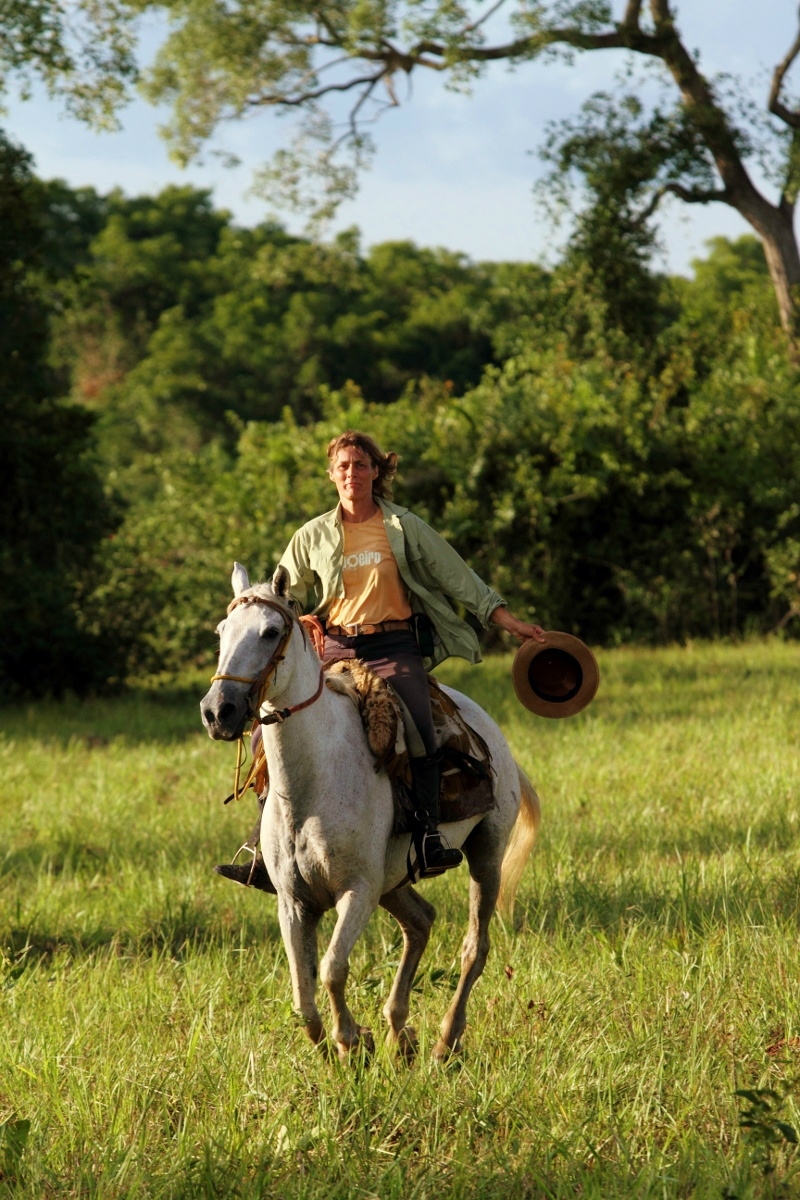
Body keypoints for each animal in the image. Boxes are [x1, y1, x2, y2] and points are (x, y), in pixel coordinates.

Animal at [199, 564, 544, 1060]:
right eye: (222, 632)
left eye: (269, 632)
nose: (217, 712)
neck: (313, 784)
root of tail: (491, 733)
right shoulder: (293, 902)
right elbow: (302, 992)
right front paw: (342, 1046)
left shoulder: (357, 891)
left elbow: (331, 968)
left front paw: (349, 1039)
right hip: (393, 880)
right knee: (420, 922)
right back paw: (399, 1030)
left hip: (486, 855)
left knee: (474, 947)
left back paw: (445, 1039)